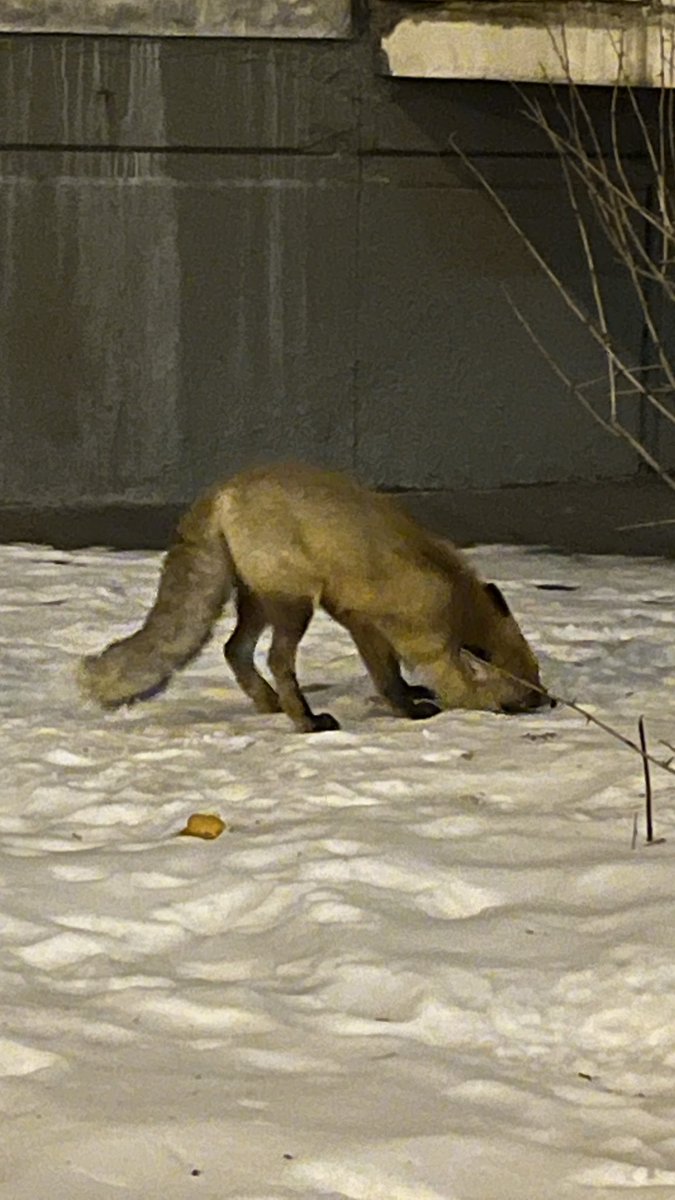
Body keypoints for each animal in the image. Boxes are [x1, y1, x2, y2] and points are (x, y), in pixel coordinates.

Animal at [78, 462, 552, 732]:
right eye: (528, 687)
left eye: (537, 672)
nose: (549, 701)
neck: (453, 598)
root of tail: (221, 491)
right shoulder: (406, 631)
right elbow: (418, 681)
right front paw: (428, 711)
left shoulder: (360, 619)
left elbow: (389, 677)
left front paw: (407, 701)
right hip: (293, 605)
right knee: (276, 659)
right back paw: (305, 721)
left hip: (258, 601)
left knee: (234, 650)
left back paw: (269, 703)